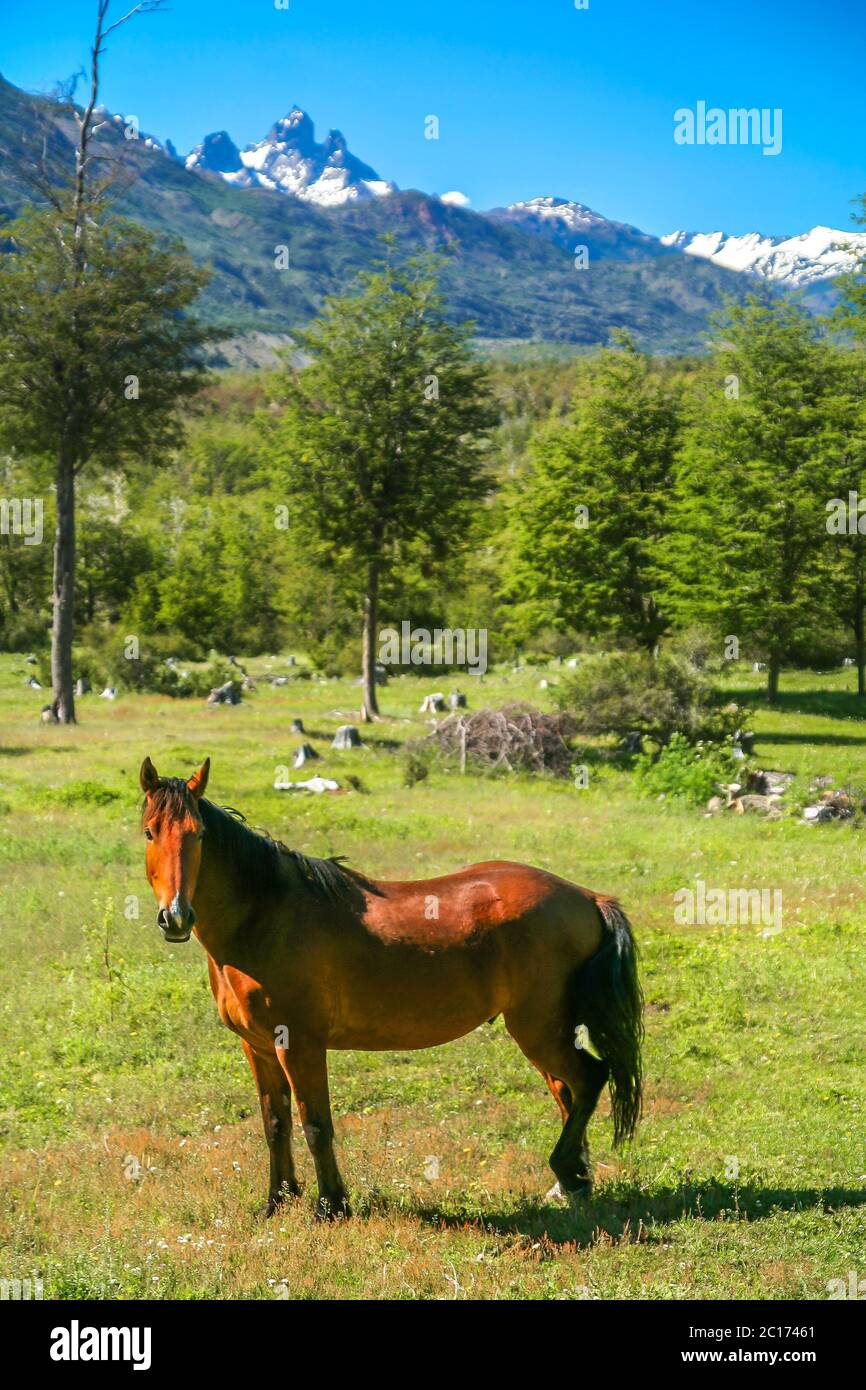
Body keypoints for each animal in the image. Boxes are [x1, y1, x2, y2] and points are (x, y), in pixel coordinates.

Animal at [139, 756, 643, 1220]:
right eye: (149, 833)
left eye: (199, 834)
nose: (176, 917)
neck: (266, 916)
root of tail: (587, 897)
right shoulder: (258, 1047)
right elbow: (274, 1122)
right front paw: (276, 1202)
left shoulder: (300, 1044)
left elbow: (315, 1124)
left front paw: (331, 1206)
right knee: (568, 1091)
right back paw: (571, 1182)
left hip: (537, 1026)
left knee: (589, 1080)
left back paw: (566, 1171)